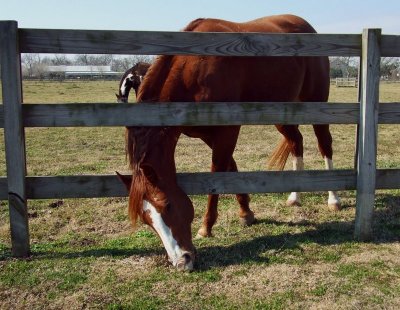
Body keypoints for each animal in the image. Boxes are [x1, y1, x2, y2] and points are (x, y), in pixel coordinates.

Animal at [123, 15, 340, 272]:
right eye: (147, 220)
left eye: (167, 206)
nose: (181, 261)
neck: (192, 68)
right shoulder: (208, 135)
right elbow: (231, 169)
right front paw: (246, 212)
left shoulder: (227, 130)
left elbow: (217, 175)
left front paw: (206, 226)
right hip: (283, 113)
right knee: (296, 142)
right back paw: (295, 196)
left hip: (317, 105)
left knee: (324, 144)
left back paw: (334, 199)